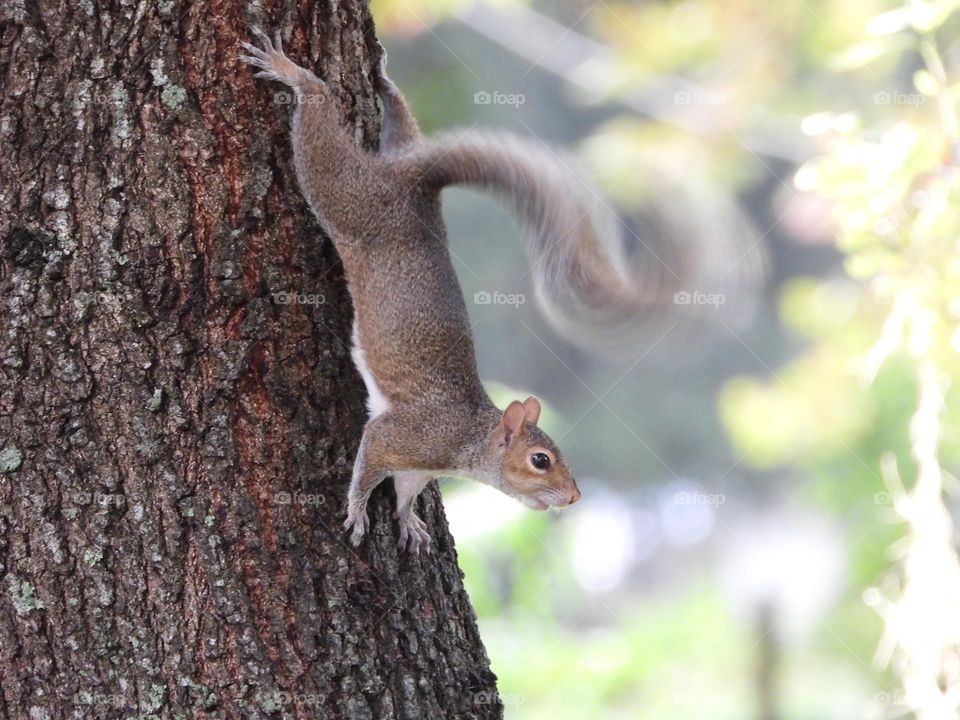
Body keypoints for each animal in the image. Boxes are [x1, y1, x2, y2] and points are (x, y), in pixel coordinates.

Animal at [236, 28, 748, 556]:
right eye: (541, 460)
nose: (574, 496)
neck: (470, 440)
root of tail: (414, 183)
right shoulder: (402, 436)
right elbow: (368, 465)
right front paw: (358, 512)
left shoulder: (418, 467)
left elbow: (405, 490)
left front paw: (409, 521)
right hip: (350, 199)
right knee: (320, 137)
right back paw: (293, 74)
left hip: (393, 157)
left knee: (403, 126)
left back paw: (386, 82)